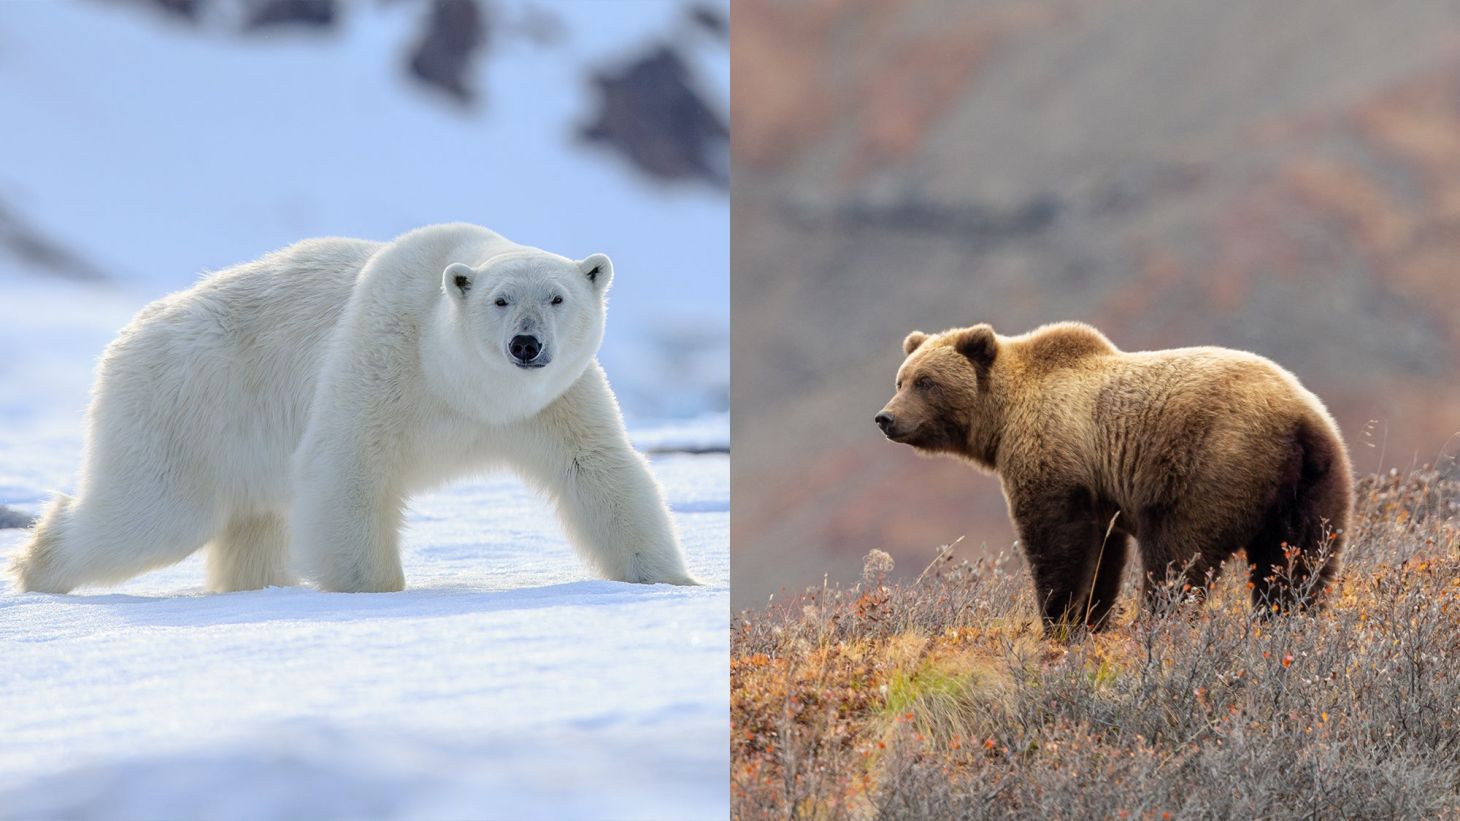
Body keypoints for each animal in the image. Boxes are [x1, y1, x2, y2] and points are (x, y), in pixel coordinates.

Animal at [11, 222, 697, 594]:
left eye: (557, 297)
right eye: (500, 300)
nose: (526, 345)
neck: (462, 386)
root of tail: (131, 333)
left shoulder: (553, 402)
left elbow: (598, 470)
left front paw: (672, 581)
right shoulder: (384, 356)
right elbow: (349, 466)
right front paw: (374, 591)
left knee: (252, 524)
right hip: (187, 404)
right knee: (153, 513)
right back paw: (36, 568)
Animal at [875, 322, 1351, 631]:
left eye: (926, 381)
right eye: (901, 379)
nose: (885, 418)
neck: (1002, 418)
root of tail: (1297, 420)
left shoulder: (1056, 456)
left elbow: (1058, 541)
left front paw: (1060, 619)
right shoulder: (1101, 491)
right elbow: (1104, 555)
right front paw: (1091, 619)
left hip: (1213, 465)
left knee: (1178, 556)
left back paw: (1161, 622)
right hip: (1314, 484)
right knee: (1300, 561)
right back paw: (1287, 620)